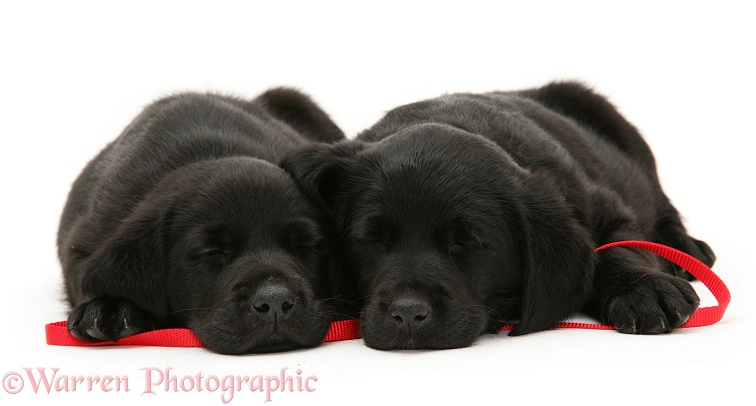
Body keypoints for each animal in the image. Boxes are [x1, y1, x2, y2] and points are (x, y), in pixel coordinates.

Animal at [284, 81, 716, 348]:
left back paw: (690, 251)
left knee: (663, 205)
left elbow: (620, 247)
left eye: (465, 242)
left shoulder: (605, 207)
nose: (407, 315)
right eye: (372, 240)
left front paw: (644, 290)